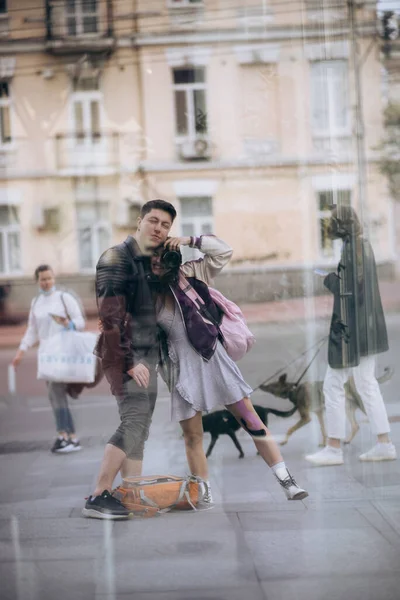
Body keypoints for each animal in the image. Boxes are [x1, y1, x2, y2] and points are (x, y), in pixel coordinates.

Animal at [260, 368, 394, 448]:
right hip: (348, 408)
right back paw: (347, 440)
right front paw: (324, 443)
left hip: (363, 406)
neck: (294, 390)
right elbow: (323, 430)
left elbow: (290, 429)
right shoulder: (319, 412)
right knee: (356, 426)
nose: (261, 385)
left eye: (271, 387)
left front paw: (284, 441)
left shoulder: (306, 418)